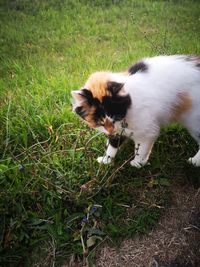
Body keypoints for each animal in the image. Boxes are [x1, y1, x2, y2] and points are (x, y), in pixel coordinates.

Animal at [71, 55, 199, 169]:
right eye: (100, 122)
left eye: (116, 117)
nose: (110, 131)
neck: (130, 105)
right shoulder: (119, 131)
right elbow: (112, 145)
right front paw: (106, 160)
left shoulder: (147, 131)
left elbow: (141, 149)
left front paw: (137, 163)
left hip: (194, 122)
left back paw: (195, 161)